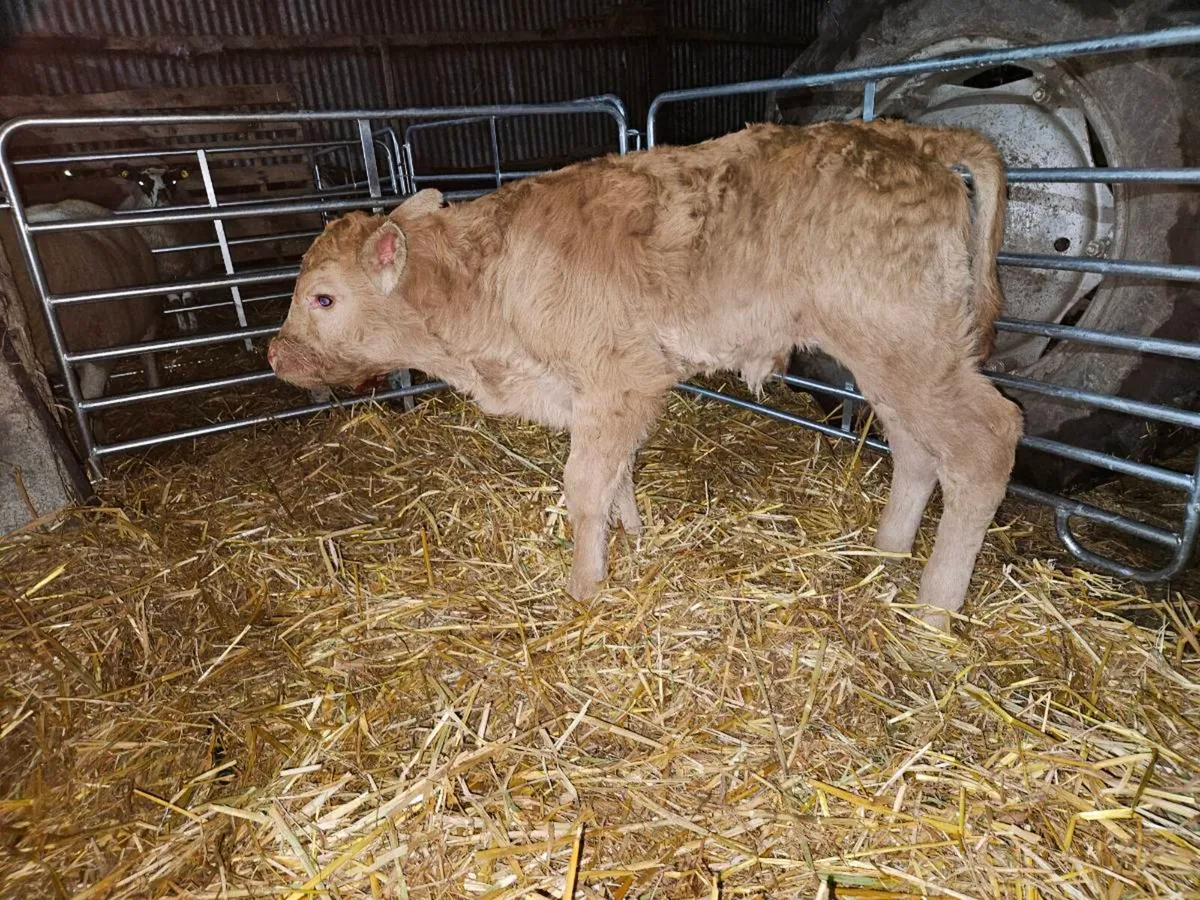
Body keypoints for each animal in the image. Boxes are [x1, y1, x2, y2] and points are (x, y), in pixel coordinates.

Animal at [268, 120, 1023, 626]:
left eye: (323, 298)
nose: (275, 354)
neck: (488, 285)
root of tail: (911, 137)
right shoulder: (603, 393)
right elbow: (619, 472)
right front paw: (630, 536)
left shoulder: (618, 376)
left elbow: (583, 485)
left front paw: (584, 586)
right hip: (892, 355)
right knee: (917, 449)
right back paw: (888, 552)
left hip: (908, 345)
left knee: (985, 442)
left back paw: (933, 609)